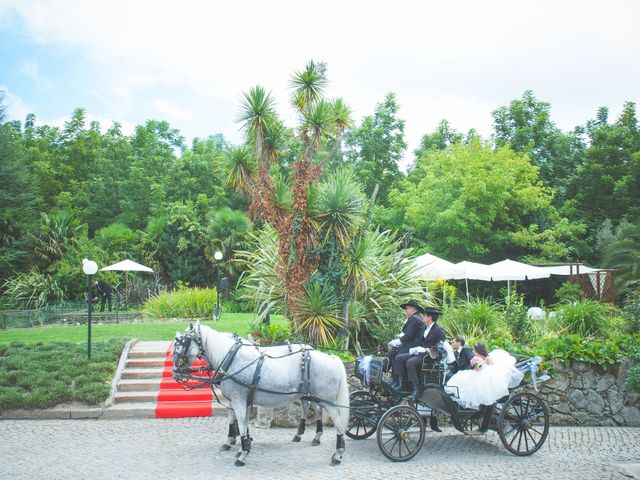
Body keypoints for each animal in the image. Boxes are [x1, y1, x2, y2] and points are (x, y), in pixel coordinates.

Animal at [172, 322, 350, 464]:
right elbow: (238, 422)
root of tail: (332, 358)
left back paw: (337, 453)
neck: (231, 359)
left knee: (338, 424)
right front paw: (239, 444)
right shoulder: (238, 400)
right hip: (309, 395)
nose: (175, 369)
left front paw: (242, 452)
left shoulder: (238, 399)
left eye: (182, 342)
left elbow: (241, 424)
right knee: (311, 408)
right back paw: (309, 436)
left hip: (327, 401)